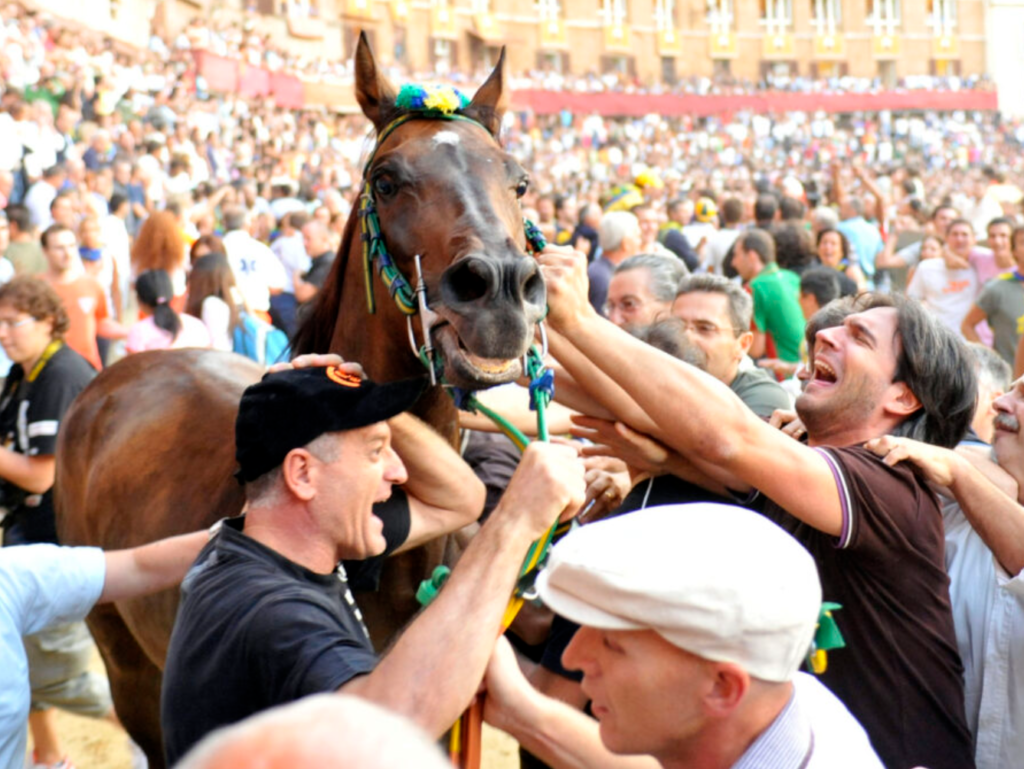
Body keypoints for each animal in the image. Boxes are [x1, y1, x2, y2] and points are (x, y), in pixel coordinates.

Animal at [56, 33, 548, 765]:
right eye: (386, 179)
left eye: (518, 181)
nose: (499, 290)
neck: (386, 568)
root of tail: (111, 381)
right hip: (127, 665)